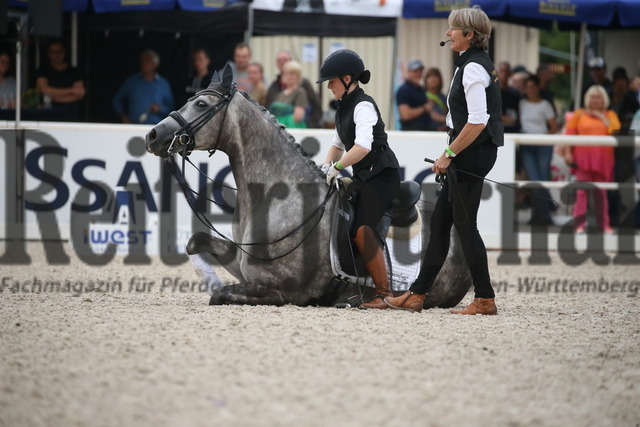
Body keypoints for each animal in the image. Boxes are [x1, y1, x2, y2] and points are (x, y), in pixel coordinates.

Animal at [146, 63, 471, 308]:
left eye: (201, 103)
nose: (152, 136)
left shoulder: (281, 289)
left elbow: (219, 295)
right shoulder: (240, 263)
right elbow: (194, 241)